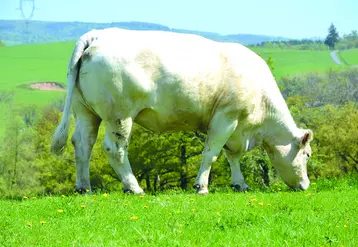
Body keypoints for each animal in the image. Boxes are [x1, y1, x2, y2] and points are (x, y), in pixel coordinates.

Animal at [50, 28, 314, 194]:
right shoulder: (226, 117)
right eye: (308, 155)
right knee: (115, 149)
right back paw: (134, 187)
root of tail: (97, 35)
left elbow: (232, 156)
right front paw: (201, 187)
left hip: (86, 112)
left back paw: (84, 188)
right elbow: (211, 153)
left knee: (82, 144)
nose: (306, 186)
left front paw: (239, 184)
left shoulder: (236, 127)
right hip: (119, 115)